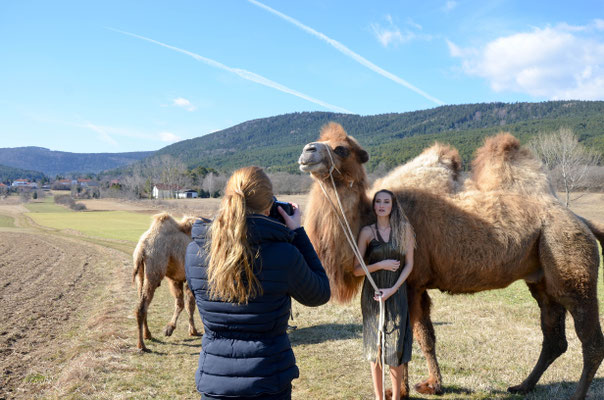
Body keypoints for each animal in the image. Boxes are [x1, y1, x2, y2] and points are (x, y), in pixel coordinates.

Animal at [132, 212, 201, 350]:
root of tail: (142, 249)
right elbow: (189, 304)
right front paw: (192, 331)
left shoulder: (177, 279)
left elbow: (181, 303)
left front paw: (173, 329)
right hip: (155, 268)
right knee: (142, 307)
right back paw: (141, 345)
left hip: (141, 274)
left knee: (142, 302)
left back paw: (148, 335)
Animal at [298, 122, 604, 400]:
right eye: (321, 140)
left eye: (342, 148)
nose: (307, 150)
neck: (368, 214)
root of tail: (580, 219)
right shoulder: (417, 286)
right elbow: (425, 336)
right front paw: (429, 385)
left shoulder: (412, 282)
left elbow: (415, 338)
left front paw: (410, 389)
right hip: (541, 279)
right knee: (554, 338)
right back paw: (523, 386)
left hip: (570, 261)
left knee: (590, 339)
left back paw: (575, 395)